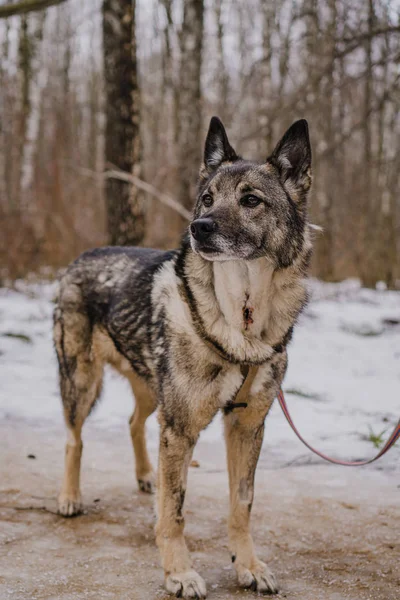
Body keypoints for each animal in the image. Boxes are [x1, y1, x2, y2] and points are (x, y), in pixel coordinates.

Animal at [53, 115, 312, 596]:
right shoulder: (180, 427)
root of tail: (84, 255)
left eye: (251, 200)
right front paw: (179, 573)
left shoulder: (246, 427)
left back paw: (146, 476)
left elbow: (242, 504)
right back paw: (69, 497)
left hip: (152, 392)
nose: (200, 228)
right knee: (73, 439)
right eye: (206, 198)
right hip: (81, 382)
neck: (242, 314)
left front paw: (248, 566)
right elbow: (173, 512)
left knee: (134, 422)